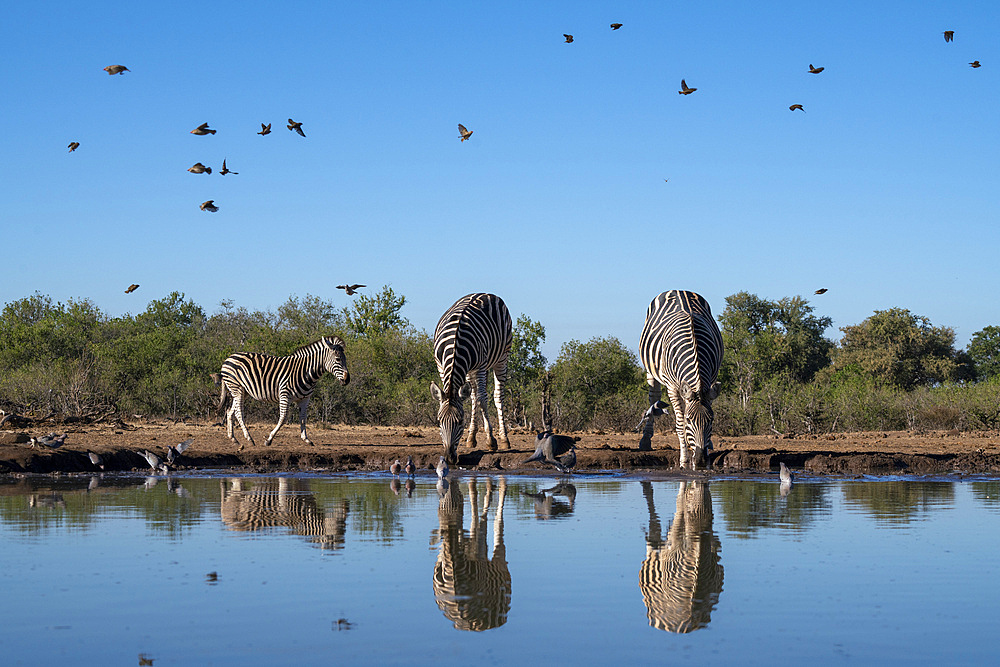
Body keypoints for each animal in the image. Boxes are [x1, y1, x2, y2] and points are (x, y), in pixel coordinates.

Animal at [217, 336, 350, 452]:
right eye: (338, 359)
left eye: (345, 360)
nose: (347, 380)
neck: (306, 372)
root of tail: (229, 357)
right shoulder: (285, 395)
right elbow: (283, 418)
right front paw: (269, 440)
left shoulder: (305, 398)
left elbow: (303, 418)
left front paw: (306, 439)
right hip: (237, 388)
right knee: (239, 412)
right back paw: (249, 438)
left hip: (243, 391)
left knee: (230, 411)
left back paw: (234, 439)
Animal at [430, 294, 512, 468]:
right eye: (439, 421)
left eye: (461, 421)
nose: (449, 459)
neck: (454, 345)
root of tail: (486, 293)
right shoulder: (441, 366)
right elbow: (473, 397)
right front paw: (473, 438)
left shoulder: (480, 367)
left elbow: (483, 399)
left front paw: (491, 441)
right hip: (473, 370)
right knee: (473, 395)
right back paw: (471, 438)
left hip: (501, 358)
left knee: (496, 396)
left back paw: (504, 439)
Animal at [636, 292, 724, 470]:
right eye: (690, 420)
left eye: (711, 420)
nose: (701, 461)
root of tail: (678, 290)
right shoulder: (672, 387)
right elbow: (680, 424)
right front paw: (684, 459)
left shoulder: (710, 382)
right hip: (651, 371)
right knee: (654, 398)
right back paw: (646, 440)